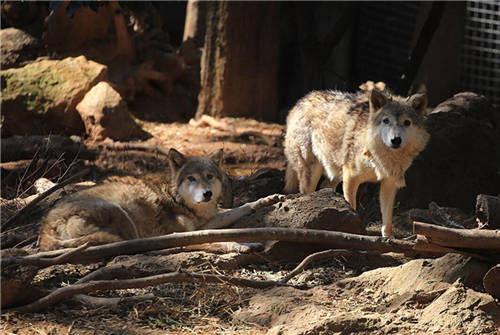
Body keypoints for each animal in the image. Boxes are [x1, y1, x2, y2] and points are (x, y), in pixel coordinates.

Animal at [39, 148, 284, 251]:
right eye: (191, 178)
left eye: (209, 176)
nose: (207, 194)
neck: (180, 201)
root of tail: (44, 229)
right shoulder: (185, 233)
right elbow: (219, 240)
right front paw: (244, 245)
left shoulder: (202, 224)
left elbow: (239, 208)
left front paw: (267, 200)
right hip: (118, 209)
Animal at [286, 88, 430, 238]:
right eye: (386, 121)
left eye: (407, 122)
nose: (395, 140)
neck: (381, 154)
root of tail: (300, 102)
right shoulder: (351, 177)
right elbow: (352, 205)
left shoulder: (389, 182)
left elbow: (387, 216)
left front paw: (388, 237)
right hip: (312, 172)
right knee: (305, 194)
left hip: (336, 172)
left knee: (325, 186)